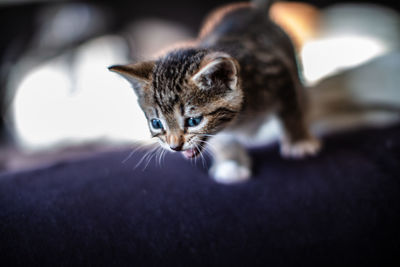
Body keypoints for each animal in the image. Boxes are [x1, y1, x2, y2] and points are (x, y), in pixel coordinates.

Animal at [108, 0, 318, 184]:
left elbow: (291, 109)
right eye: (156, 123)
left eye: (193, 121)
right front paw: (231, 162)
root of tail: (253, 11)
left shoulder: (277, 71)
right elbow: (221, 140)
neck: (240, 119)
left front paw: (299, 141)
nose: (174, 147)